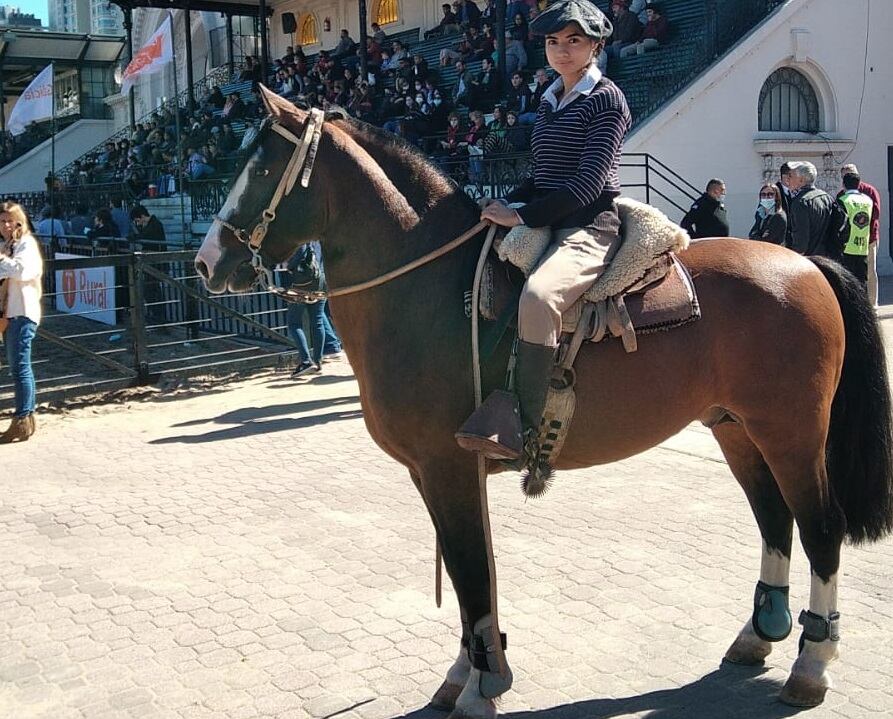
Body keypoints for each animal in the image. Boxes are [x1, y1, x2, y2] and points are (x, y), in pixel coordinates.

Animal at [195, 91, 892, 719]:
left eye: (261, 167)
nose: (206, 262)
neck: (433, 290)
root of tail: (806, 262)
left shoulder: (447, 467)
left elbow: (471, 569)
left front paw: (482, 685)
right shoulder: (438, 473)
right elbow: (471, 568)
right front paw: (471, 670)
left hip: (791, 433)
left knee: (820, 526)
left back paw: (811, 663)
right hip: (737, 429)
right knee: (775, 520)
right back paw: (759, 634)